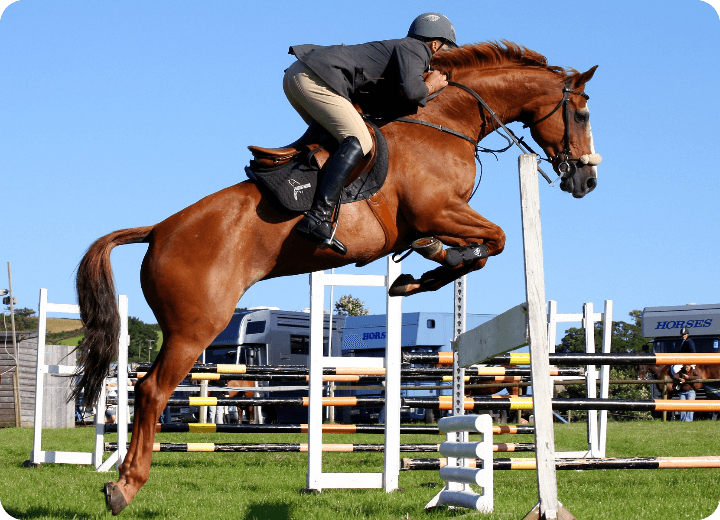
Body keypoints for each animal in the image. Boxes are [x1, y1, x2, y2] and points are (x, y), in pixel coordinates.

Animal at [72, 41, 601, 514]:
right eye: (581, 114)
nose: (586, 181)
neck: (446, 124)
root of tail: (159, 230)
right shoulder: (438, 209)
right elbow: (497, 239)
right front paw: (429, 274)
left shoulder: (428, 222)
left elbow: (472, 248)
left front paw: (419, 273)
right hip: (194, 327)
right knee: (151, 391)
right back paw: (124, 487)